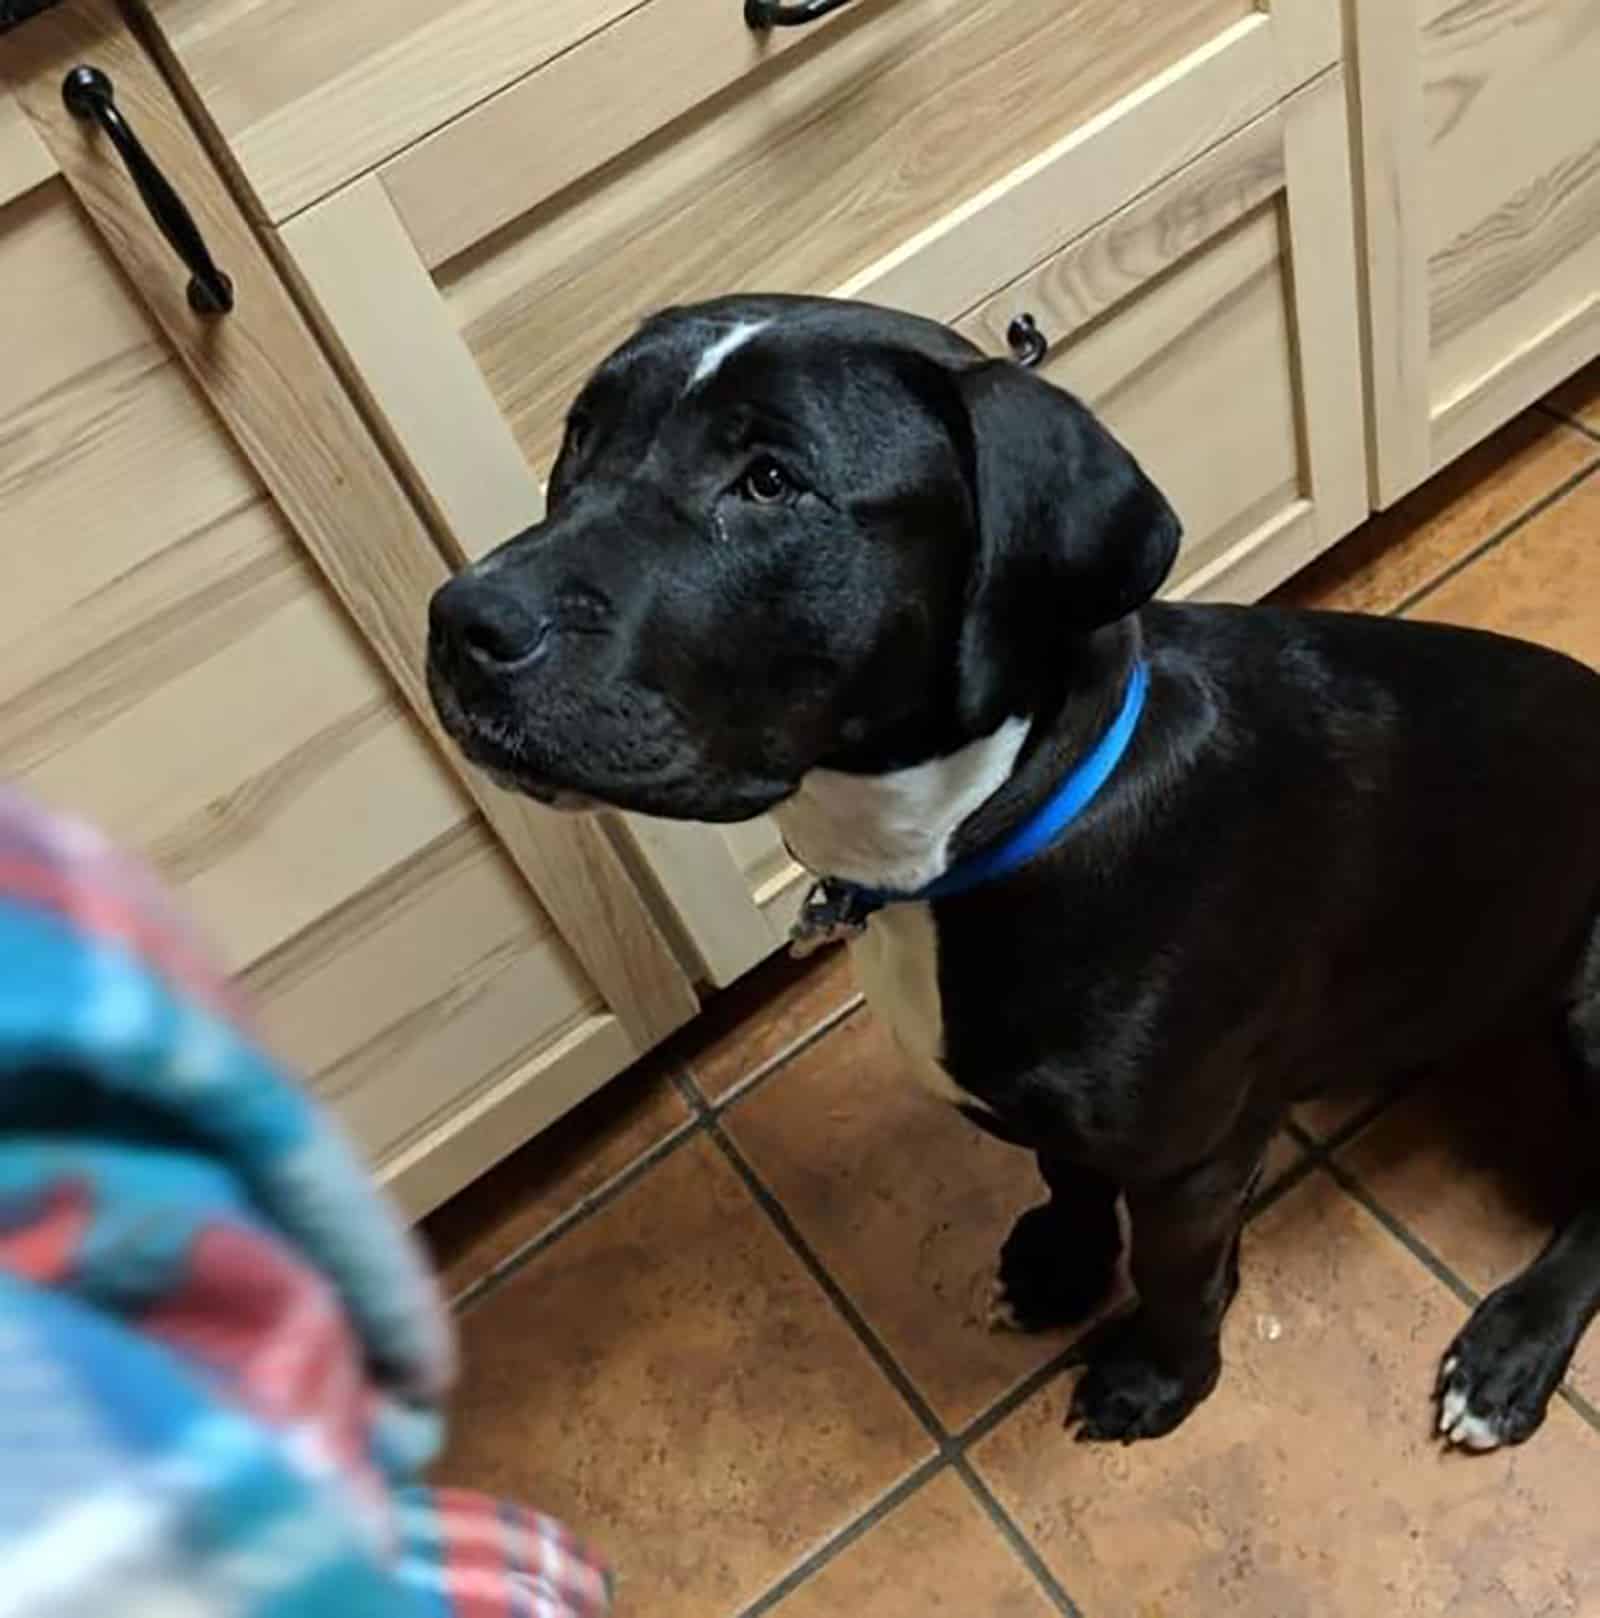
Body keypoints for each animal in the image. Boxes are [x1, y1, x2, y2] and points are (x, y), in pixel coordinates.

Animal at [423, 297, 1598, 1449]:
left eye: (769, 480)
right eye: (580, 438)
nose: (460, 622)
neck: (982, 829)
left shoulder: (1191, 1159)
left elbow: (1177, 1276)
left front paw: (1158, 1379)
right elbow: (1065, 1174)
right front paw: (1063, 1265)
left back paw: (1508, 1351)